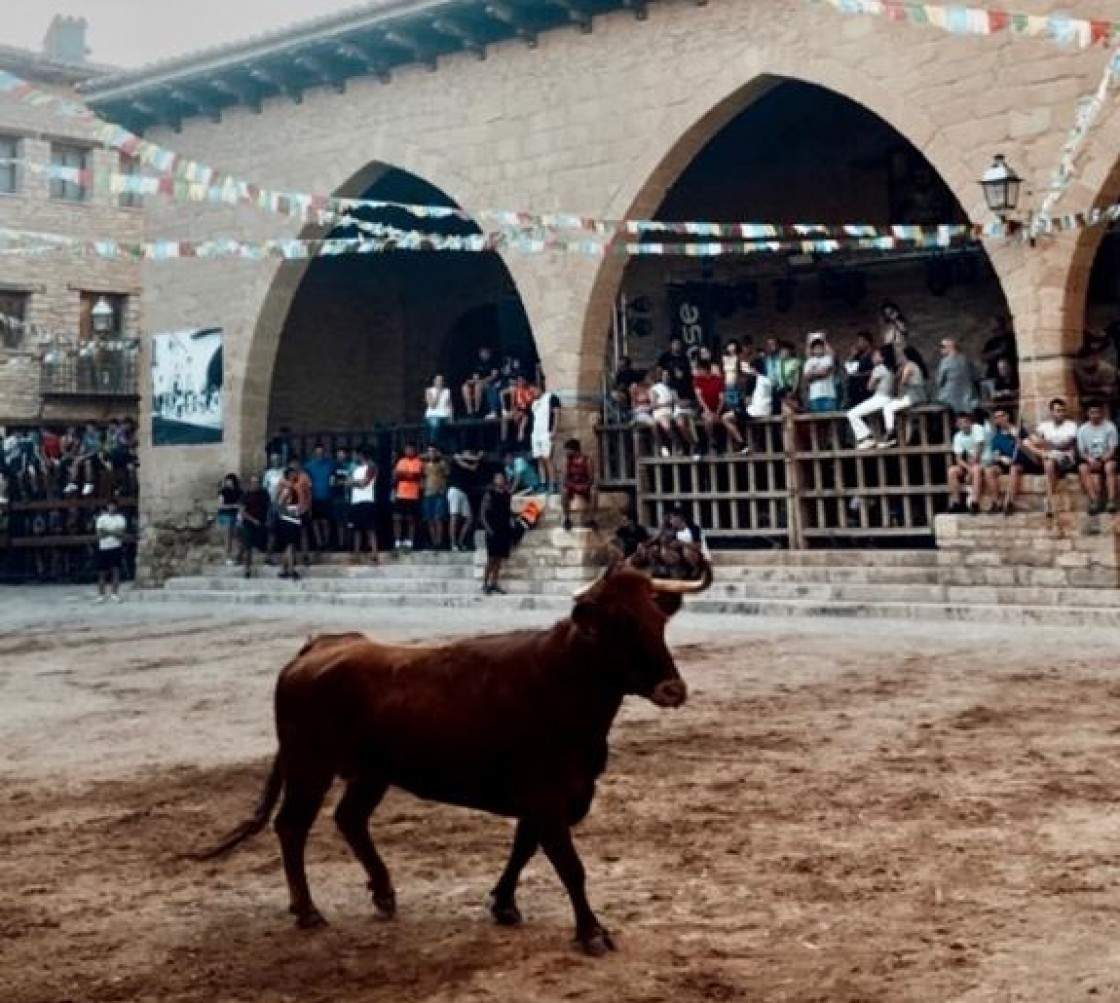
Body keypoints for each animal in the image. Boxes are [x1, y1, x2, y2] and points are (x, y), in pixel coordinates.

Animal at [199, 564, 707, 958]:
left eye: (658, 621)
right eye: (617, 626)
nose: (673, 689)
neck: (564, 680)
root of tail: (317, 647)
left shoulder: (548, 798)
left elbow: (523, 849)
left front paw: (504, 905)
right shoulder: (546, 796)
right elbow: (569, 866)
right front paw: (592, 933)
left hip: (371, 772)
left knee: (349, 818)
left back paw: (384, 894)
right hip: (309, 766)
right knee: (292, 827)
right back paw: (307, 911)